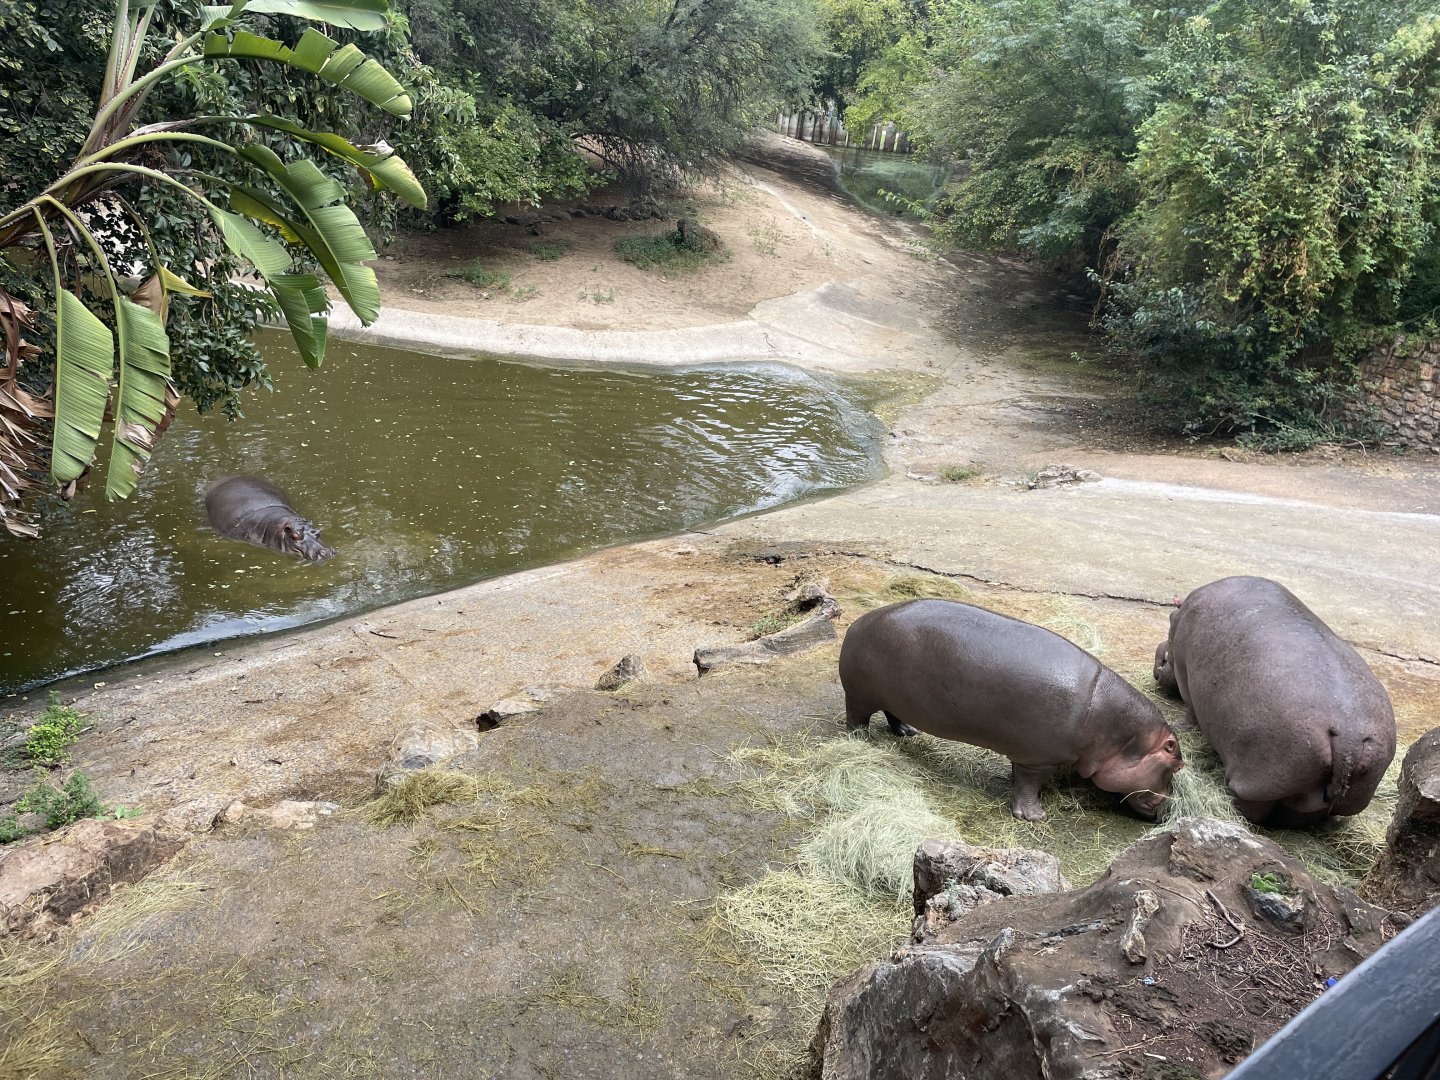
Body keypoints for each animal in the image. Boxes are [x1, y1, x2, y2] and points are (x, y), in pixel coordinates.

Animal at [840, 599, 1183, 821]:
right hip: (859, 696)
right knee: (857, 718)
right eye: (1176, 763)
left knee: (892, 713)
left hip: (894, 697)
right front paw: (1034, 817)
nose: (1169, 807)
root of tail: (858, 622)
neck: (1117, 731)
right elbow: (1030, 785)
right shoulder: (1041, 758)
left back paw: (907, 732)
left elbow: (1019, 776)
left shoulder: (1027, 753)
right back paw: (861, 742)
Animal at [1153, 575, 1395, 826]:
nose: (1158, 666)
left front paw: (1180, 726)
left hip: (1256, 779)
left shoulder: (1185, 677)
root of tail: (1349, 737)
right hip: (1343, 792)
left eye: (1169, 619)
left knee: (1251, 808)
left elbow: (1190, 712)